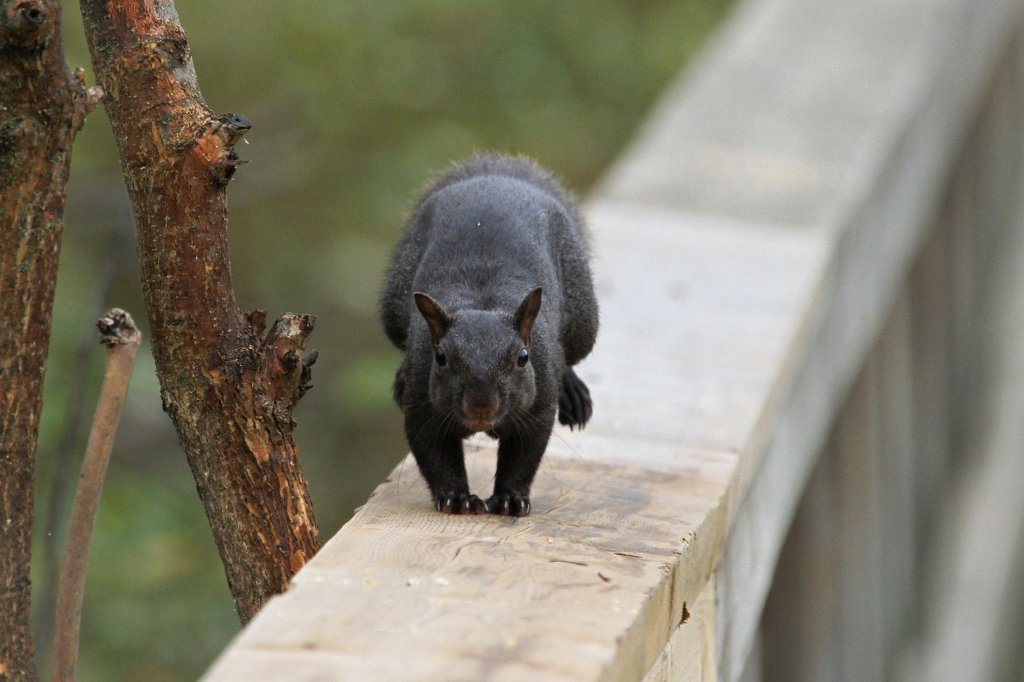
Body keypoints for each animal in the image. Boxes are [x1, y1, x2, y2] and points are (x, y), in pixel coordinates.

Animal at [380, 153, 598, 516]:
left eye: (523, 358)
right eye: (440, 357)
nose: (481, 404)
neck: (484, 302)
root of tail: (497, 178)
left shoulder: (538, 405)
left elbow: (523, 457)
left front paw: (510, 498)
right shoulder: (421, 405)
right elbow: (435, 455)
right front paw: (455, 497)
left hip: (584, 319)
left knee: (572, 354)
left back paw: (573, 392)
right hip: (394, 302)